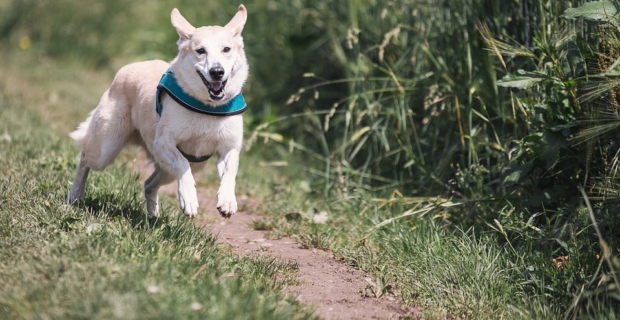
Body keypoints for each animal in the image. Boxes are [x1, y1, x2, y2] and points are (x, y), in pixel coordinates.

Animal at [67, 5, 249, 219]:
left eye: (226, 49)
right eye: (200, 51)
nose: (217, 72)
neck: (207, 107)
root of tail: (128, 67)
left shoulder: (229, 148)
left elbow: (230, 172)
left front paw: (227, 201)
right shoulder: (163, 142)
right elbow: (182, 164)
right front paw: (189, 199)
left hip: (176, 168)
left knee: (149, 184)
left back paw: (153, 216)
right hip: (106, 148)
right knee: (85, 158)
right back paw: (75, 195)